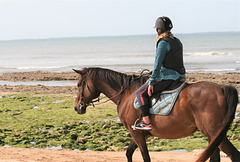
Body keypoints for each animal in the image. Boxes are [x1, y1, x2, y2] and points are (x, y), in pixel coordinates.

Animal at [73, 67, 240, 162]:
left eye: (79, 84)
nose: (77, 107)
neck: (127, 93)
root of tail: (223, 88)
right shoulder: (141, 133)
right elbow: (128, 152)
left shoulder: (136, 133)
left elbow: (145, 157)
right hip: (214, 137)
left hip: (214, 133)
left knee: (234, 155)